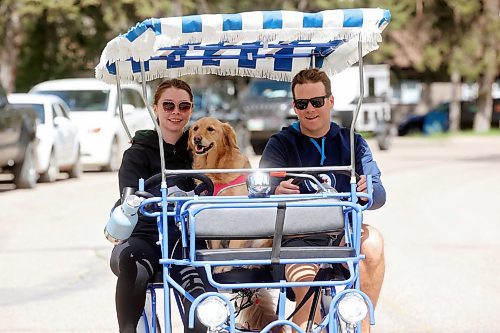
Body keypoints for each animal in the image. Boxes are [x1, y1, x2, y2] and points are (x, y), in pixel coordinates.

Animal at [188, 116, 282, 332]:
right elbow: (216, 248)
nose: (196, 139)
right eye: (195, 128)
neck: (216, 168)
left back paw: (249, 264)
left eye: (210, 129)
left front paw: (225, 267)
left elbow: (234, 246)